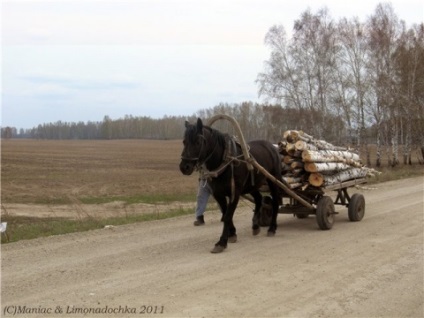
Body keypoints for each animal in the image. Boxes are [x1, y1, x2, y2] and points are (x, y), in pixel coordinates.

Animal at [179, 118, 282, 252]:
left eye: (197, 142)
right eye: (184, 141)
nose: (184, 167)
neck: (225, 161)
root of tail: (272, 146)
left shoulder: (235, 193)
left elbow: (228, 216)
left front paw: (221, 242)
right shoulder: (218, 193)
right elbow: (225, 213)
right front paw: (232, 233)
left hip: (273, 180)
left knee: (275, 202)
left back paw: (272, 228)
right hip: (250, 185)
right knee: (259, 199)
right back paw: (255, 226)